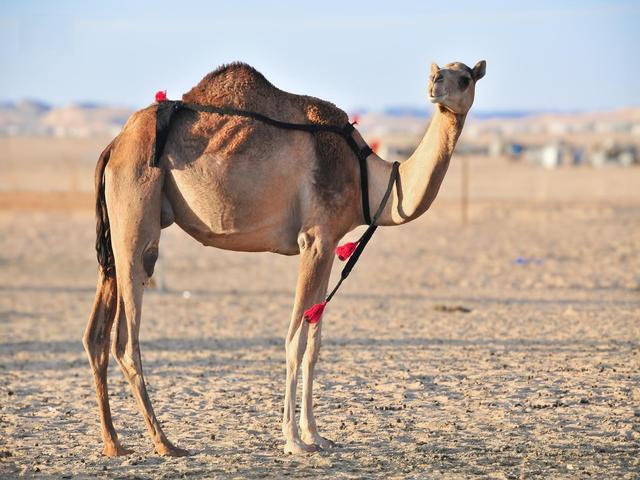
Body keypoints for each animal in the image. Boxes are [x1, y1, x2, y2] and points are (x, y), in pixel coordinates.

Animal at [83, 59, 486, 457]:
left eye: (465, 77)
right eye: (439, 73)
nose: (435, 83)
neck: (366, 179)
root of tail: (114, 145)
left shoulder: (329, 243)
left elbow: (314, 345)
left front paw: (317, 435)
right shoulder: (315, 239)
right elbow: (295, 342)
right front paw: (293, 439)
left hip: (117, 234)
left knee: (96, 335)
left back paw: (113, 442)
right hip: (137, 213)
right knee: (126, 338)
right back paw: (165, 443)